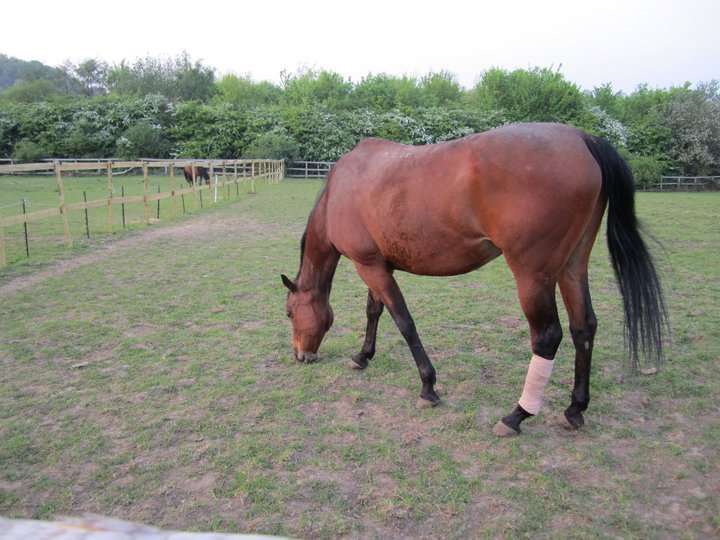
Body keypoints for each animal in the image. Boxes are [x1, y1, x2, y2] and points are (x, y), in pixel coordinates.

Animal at [281, 122, 667, 436]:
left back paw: (517, 415)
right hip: (572, 266)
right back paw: (574, 409)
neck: (340, 190)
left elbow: (404, 322)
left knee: (547, 337)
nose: (300, 355)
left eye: (288, 313)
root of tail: (582, 138)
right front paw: (363, 356)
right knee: (583, 327)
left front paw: (428, 386)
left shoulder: (370, 266)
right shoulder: (376, 264)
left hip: (533, 276)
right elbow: (374, 312)